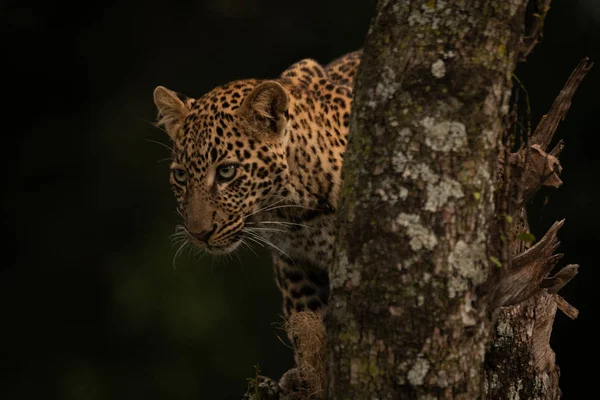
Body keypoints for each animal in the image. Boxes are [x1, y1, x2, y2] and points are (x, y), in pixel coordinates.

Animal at [154, 49, 360, 394]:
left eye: (227, 171)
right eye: (180, 176)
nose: (199, 234)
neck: (295, 211)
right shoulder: (293, 261)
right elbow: (304, 316)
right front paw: (308, 375)